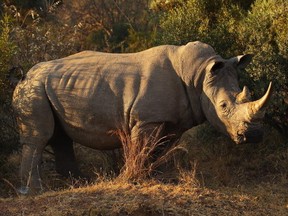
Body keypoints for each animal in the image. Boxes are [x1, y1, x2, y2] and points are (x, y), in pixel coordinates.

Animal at [11, 41, 272, 193]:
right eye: (223, 105)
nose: (254, 135)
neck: (198, 75)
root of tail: (24, 75)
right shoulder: (147, 119)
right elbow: (141, 147)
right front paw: (130, 178)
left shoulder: (172, 121)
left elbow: (156, 149)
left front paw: (152, 178)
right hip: (33, 88)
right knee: (39, 137)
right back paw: (35, 191)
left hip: (53, 86)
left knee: (60, 137)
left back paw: (78, 183)